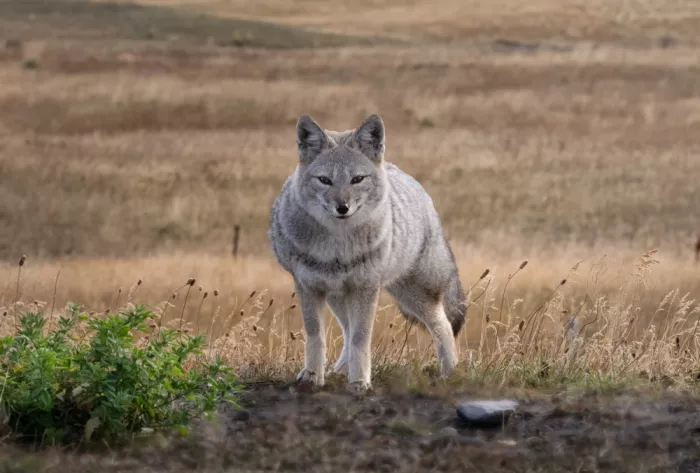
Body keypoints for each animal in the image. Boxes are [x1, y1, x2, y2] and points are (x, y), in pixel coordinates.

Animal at [268, 114, 468, 394]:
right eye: (325, 180)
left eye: (357, 179)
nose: (342, 207)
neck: (336, 248)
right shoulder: (308, 286)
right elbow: (317, 336)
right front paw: (312, 376)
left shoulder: (366, 288)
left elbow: (361, 339)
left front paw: (360, 382)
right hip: (340, 297)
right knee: (347, 330)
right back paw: (340, 370)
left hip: (414, 295)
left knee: (443, 325)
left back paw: (449, 372)